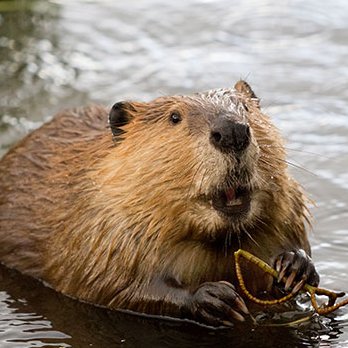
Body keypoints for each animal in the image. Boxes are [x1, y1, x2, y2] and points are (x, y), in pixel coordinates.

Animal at [0, 81, 318, 326]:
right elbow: (110, 287)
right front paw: (215, 298)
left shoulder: (288, 210)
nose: (231, 131)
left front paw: (294, 265)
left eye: (247, 108)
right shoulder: (102, 230)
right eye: (174, 117)